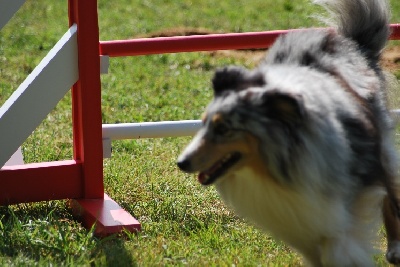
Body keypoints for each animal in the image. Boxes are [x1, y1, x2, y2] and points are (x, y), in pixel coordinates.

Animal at [178, 0, 400, 266]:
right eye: (203, 124)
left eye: (223, 129)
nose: (181, 163)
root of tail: (353, 42)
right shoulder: (298, 219)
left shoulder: (347, 195)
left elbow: (340, 244)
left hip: (380, 146)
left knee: (390, 196)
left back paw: (395, 248)